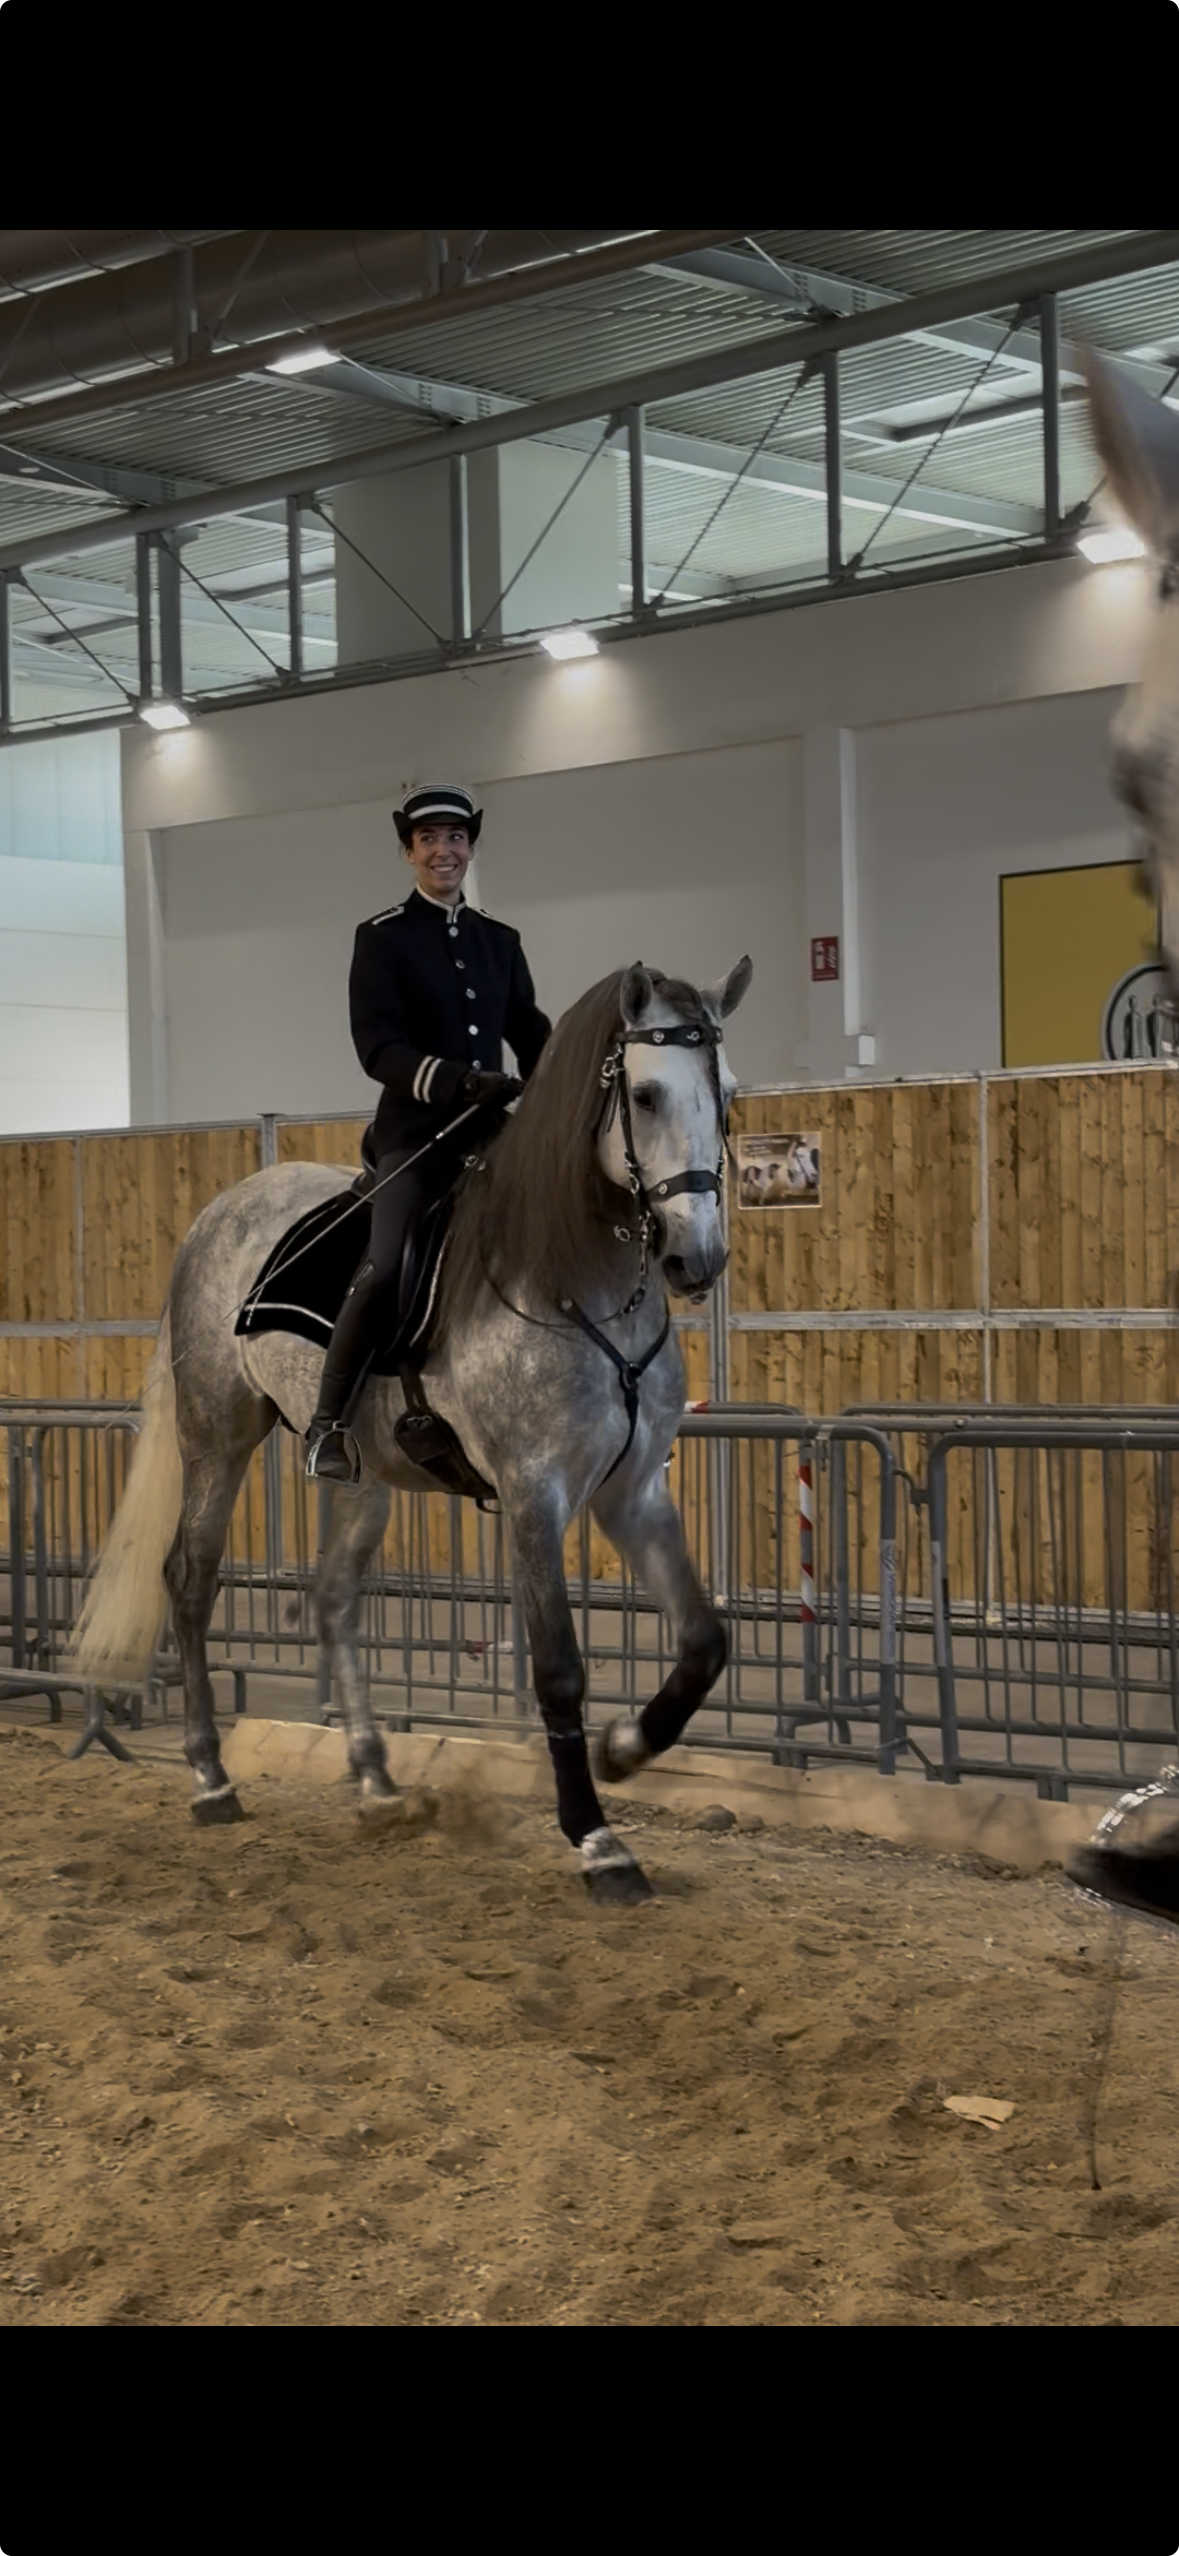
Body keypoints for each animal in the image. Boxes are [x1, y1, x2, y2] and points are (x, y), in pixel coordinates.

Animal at [65, 957, 752, 1906]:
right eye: (644, 1095)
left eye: (727, 1092)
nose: (697, 1259)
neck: (572, 1275)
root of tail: (220, 1211)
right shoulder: (534, 1494)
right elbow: (557, 1668)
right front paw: (596, 1839)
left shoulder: (633, 1492)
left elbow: (701, 1643)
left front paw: (623, 1751)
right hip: (217, 1433)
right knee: (190, 1580)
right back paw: (210, 1779)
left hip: (361, 1474)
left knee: (332, 1598)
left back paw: (375, 1780)